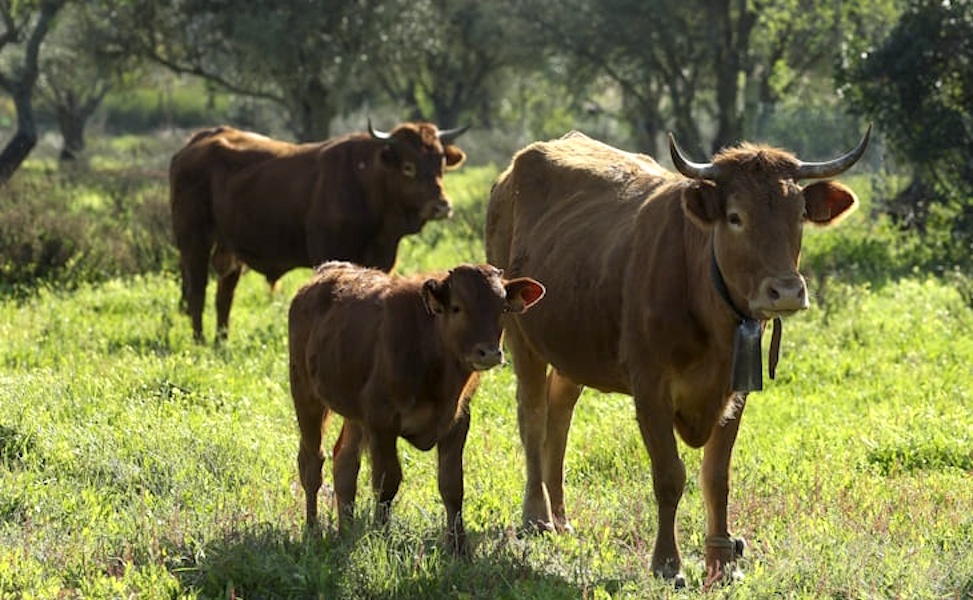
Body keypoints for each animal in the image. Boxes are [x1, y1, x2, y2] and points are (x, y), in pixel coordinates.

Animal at [169, 121, 468, 341]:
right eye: (408, 167)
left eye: (441, 163)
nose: (441, 205)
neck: (366, 183)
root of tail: (196, 142)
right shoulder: (328, 253)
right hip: (193, 242)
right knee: (197, 291)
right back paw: (199, 340)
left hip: (230, 249)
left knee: (224, 296)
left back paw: (222, 340)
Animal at [288, 260, 545, 555]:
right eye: (457, 307)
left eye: (502, 308)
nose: (489, 352)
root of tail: (328, 270)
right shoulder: (381, 423)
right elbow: (387, 482)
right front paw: (381, 539)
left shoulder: (457, 423)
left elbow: (452, 485)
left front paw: (459, 548)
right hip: (305, 394)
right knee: (311, 462)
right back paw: (312, 530)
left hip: (354, 415)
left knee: (344, 462)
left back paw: (346, 533)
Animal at [485, 126, 870, 585]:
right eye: (735, 216)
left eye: (798, 216)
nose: (788, 291)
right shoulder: (650, 388)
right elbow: (670, 476)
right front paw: (667, 562)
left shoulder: (736, 390)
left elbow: (716, 478)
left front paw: (722, 563)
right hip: (520, 335)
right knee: (533, 418)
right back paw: (537, 517)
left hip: (572, 348)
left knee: (559, 417)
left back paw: (561, 519)